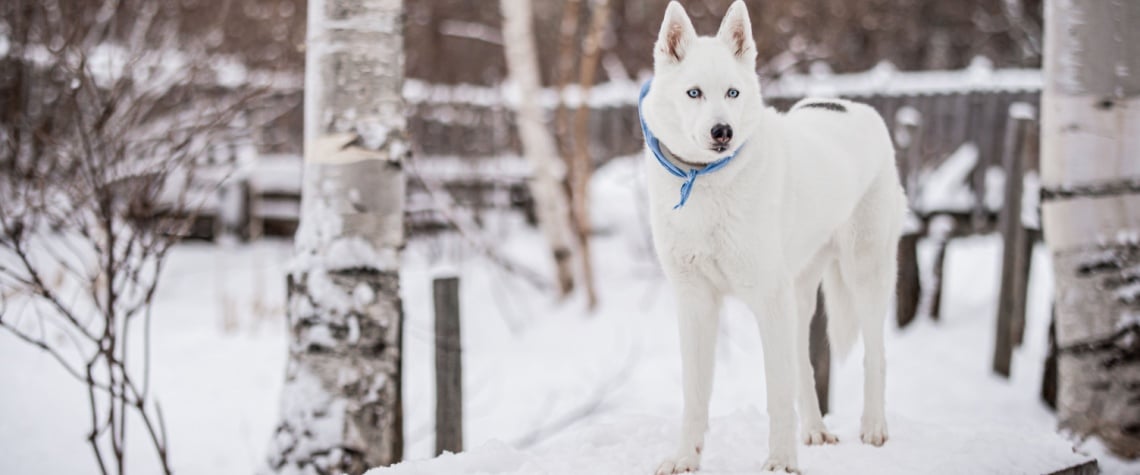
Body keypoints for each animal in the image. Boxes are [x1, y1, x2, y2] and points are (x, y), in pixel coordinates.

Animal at [642, 1, 907, 471]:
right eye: (694, 93)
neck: (705, 181)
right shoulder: (695, 302)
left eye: (732, 93)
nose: (723, 132)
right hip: (797, 297)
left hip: (864, 275)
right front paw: (685, 458)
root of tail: (849, 105)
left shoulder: (767, 299)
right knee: (804, 366)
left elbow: (778, 394)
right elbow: (695, 395)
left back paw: (874, 427)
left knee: (874, 356)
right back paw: (816, 430)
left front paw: (782, 462)